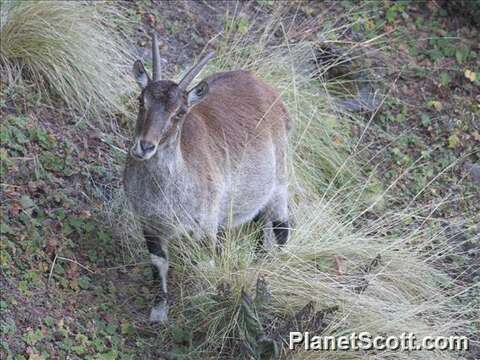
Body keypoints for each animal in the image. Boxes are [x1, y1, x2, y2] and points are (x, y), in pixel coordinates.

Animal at [122, 32, 290, 322]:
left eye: (179, 113)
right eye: (141, 100)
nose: (144, 146)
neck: (166, 194)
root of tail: (268, 91)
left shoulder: (206, 225)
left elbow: (205, 264)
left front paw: (202, 304)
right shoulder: (149, 221)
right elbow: (159, 263)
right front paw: (159, 312)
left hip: (279, 182)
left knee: (281, 229)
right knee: (258, 222)